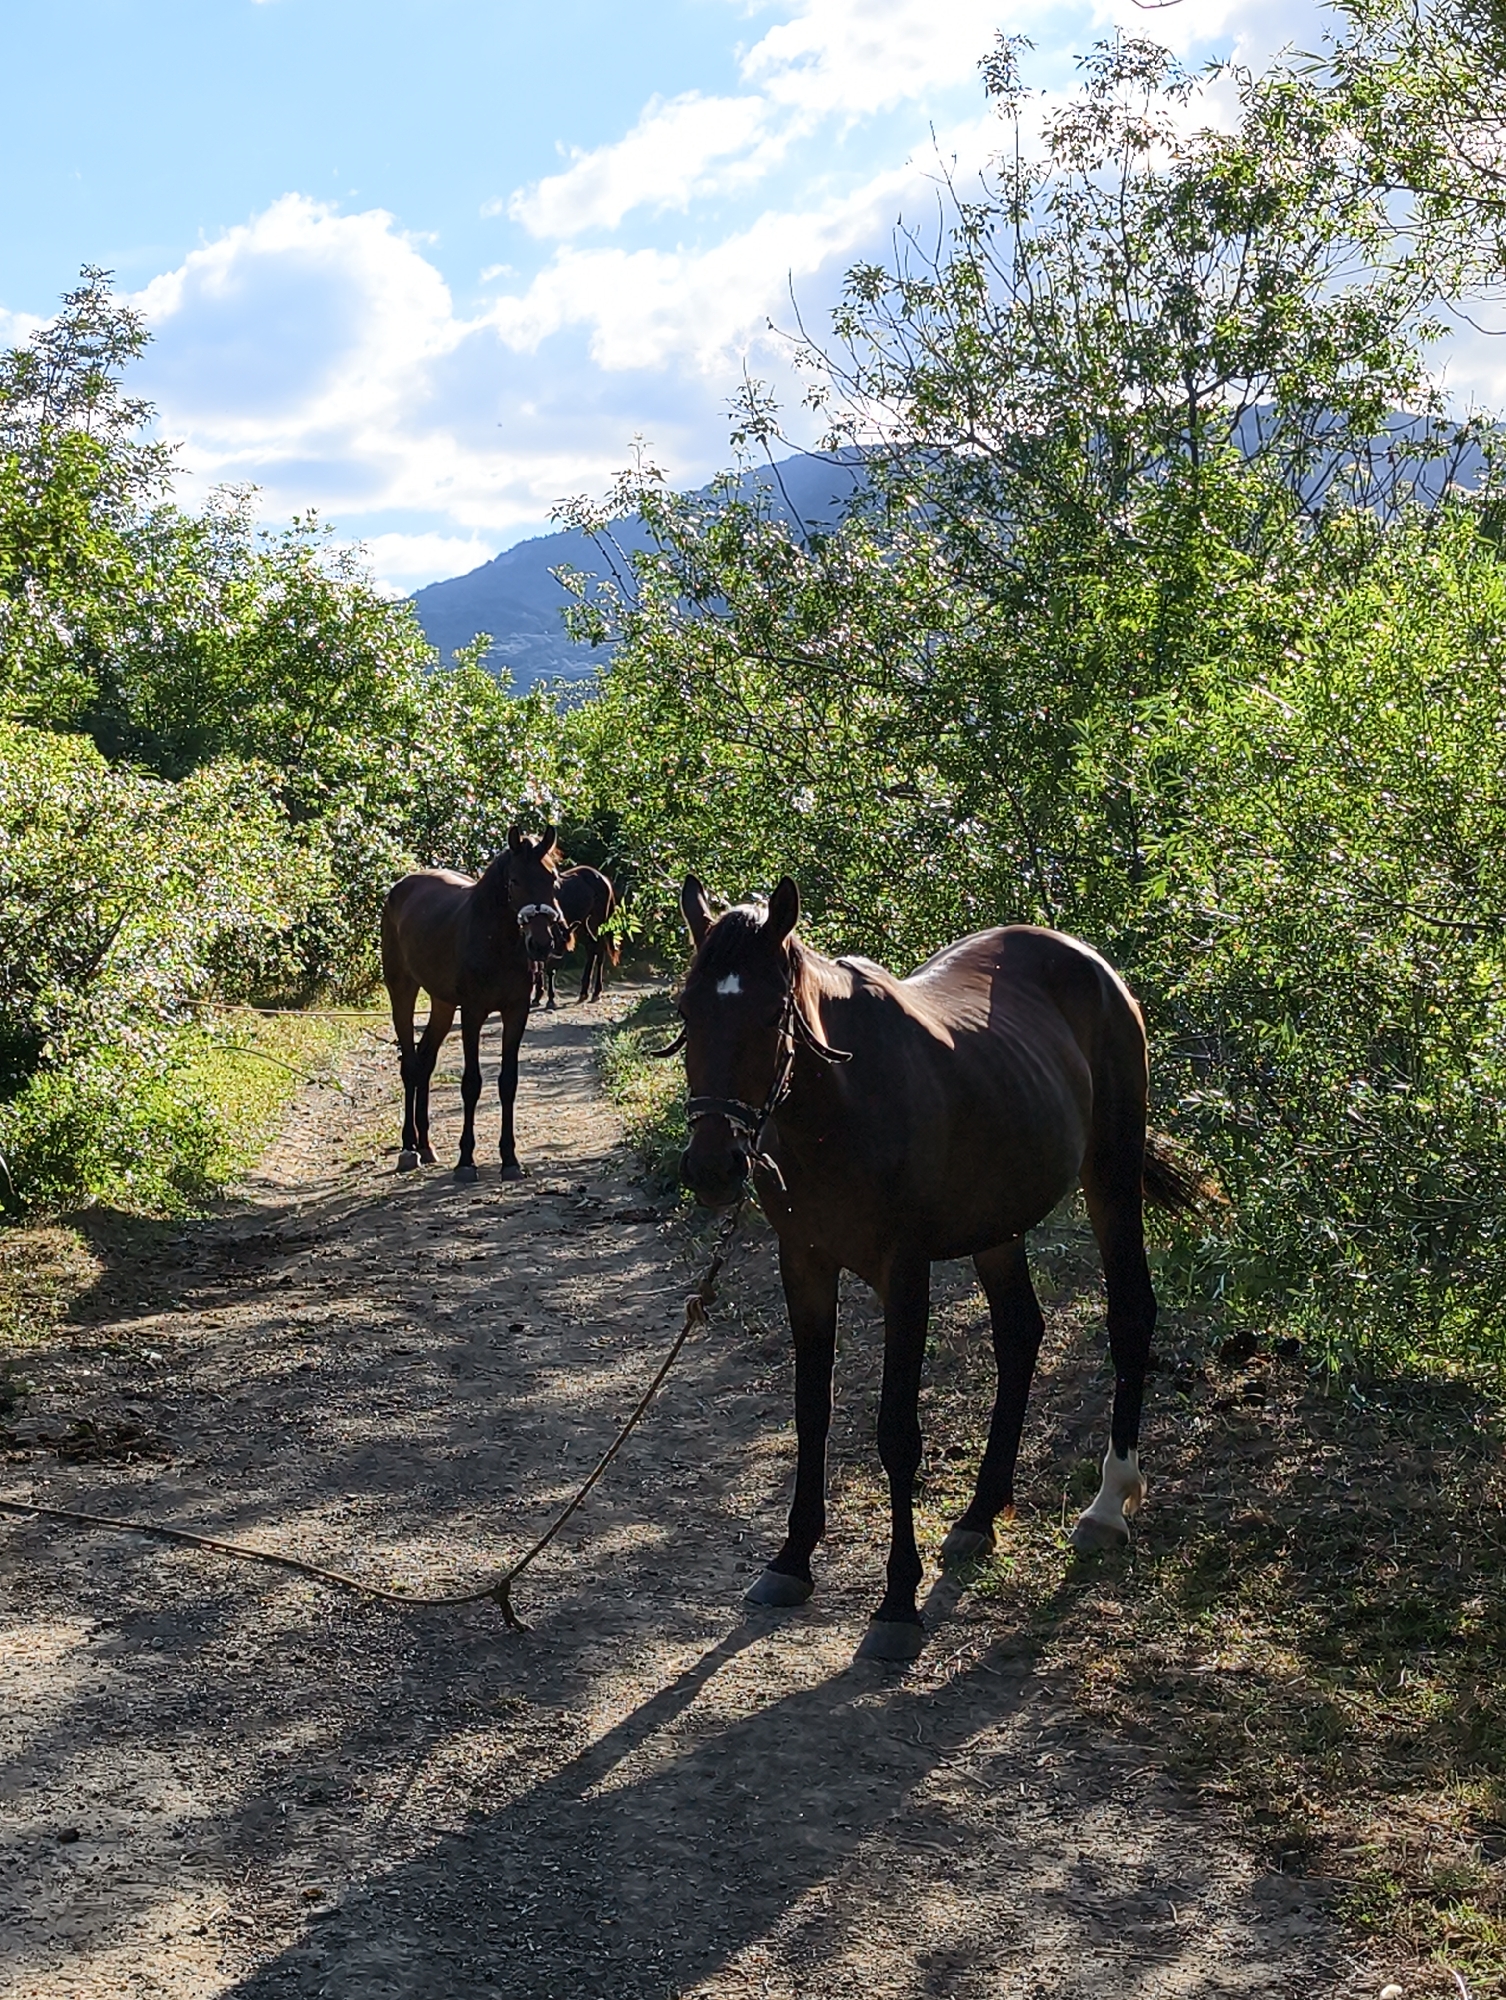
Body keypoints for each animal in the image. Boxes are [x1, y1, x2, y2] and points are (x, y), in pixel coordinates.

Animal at [380, 827, 568, 1183]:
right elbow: (471, 1083)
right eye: (515, 881)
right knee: (410, 1064)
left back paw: (426, 1144)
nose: (541, 944)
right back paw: (409, 1147)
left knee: (425, 1060)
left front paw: (510, 1159)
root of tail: (402, 886)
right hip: (403, 991)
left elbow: (508, 1082)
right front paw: (466, 1160)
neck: (498, 943)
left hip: (441, 1004)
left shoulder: (516, 1013)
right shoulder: (472, 1013)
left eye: (553, 880)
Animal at [531, 865, 621, 1009]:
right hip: (584, 927)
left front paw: (549, 998)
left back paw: (595, 992)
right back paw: (584, 992)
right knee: (592, 950)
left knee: (599, 951)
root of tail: (603, 878)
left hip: (597, 925)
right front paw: (538, 996)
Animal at [672, 874, 1204, 1661]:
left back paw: (1108, 1507)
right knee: (1020, 1334)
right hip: (998, 1226)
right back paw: (981, 1515)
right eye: (687, 1008)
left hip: (1110, 1175)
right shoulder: (804, 1265)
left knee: (1130, 1315)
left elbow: (898, 1432)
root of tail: (1089, 962)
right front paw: (791, 1561)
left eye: (771, 1013)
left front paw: (897, 1603)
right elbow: (811, 1412)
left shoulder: (905, 1275)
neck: (840, 1109)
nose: (712, 1167)